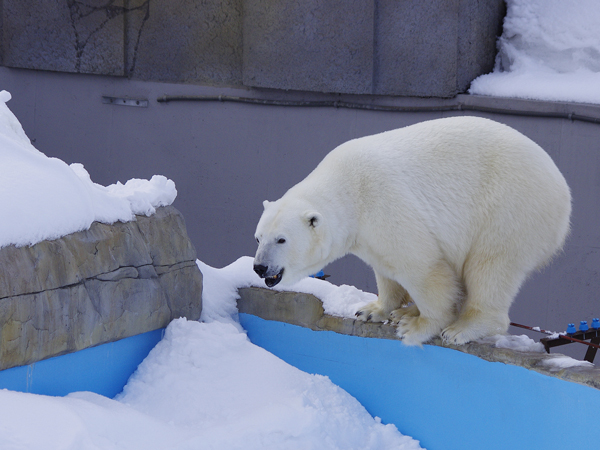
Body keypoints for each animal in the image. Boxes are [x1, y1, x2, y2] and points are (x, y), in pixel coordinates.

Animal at [253, 116, 572, 344]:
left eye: (281, 240)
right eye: (258, 237)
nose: (259, 267)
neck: (348, 188)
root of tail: (562, 188)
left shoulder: (384, 202)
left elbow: (422, 267)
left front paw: (417, 327)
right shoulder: (368, 233)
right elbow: (385, 267)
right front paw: (372, 310)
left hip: (509, 210)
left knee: (490, 267)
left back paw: (462, 327)